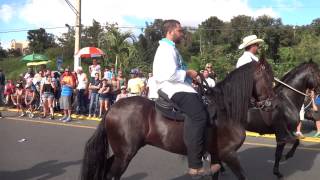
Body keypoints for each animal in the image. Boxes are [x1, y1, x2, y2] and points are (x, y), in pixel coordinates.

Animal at [81, 59, 274, 180]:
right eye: (268, 78)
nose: (270, 104)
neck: (225, 110)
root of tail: (113, 108)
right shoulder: (229, 154)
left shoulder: (217, 155)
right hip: (125, 154)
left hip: (122, 153)